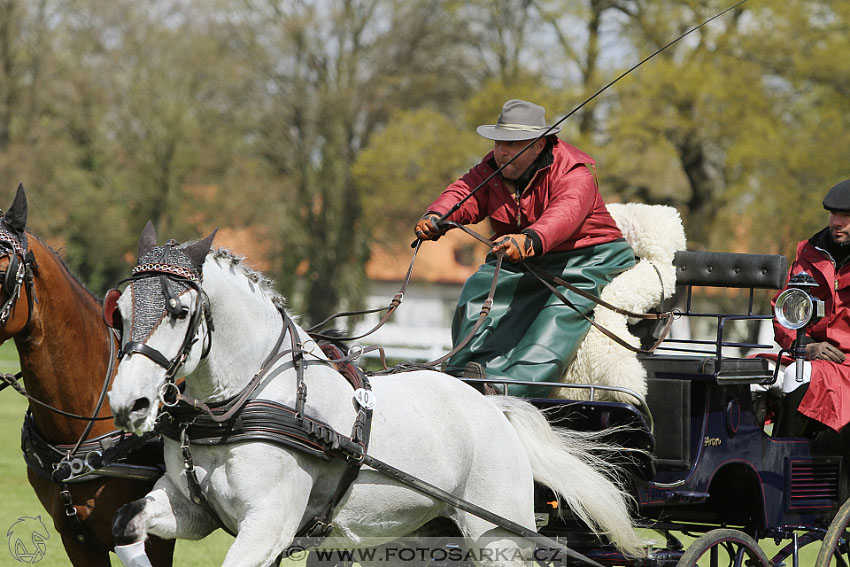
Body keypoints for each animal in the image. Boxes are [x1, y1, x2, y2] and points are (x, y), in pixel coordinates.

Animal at [106, 225, 640, 567]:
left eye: (179, 311)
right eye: (121, 311)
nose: (128, 404)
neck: (236, 409)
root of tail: (492, 405)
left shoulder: (269, 524)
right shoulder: (191, 511)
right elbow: (126, 524)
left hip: (499, 534)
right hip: (412, 534)